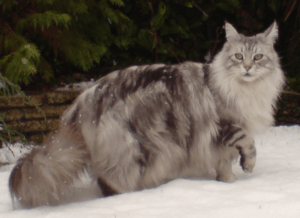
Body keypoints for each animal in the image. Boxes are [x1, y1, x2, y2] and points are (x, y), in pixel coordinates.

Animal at [8, 21, 284, 209]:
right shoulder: (225, 126)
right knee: (115, 181)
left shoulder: (217, 143)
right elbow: (247, 143)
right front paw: (246, 167)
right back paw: (138, 196)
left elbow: (223, 164)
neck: (244, 89)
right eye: (238, 56)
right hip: (138, 145)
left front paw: (226, 183)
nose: (247, 68)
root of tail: (85, 97)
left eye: (258, 57)